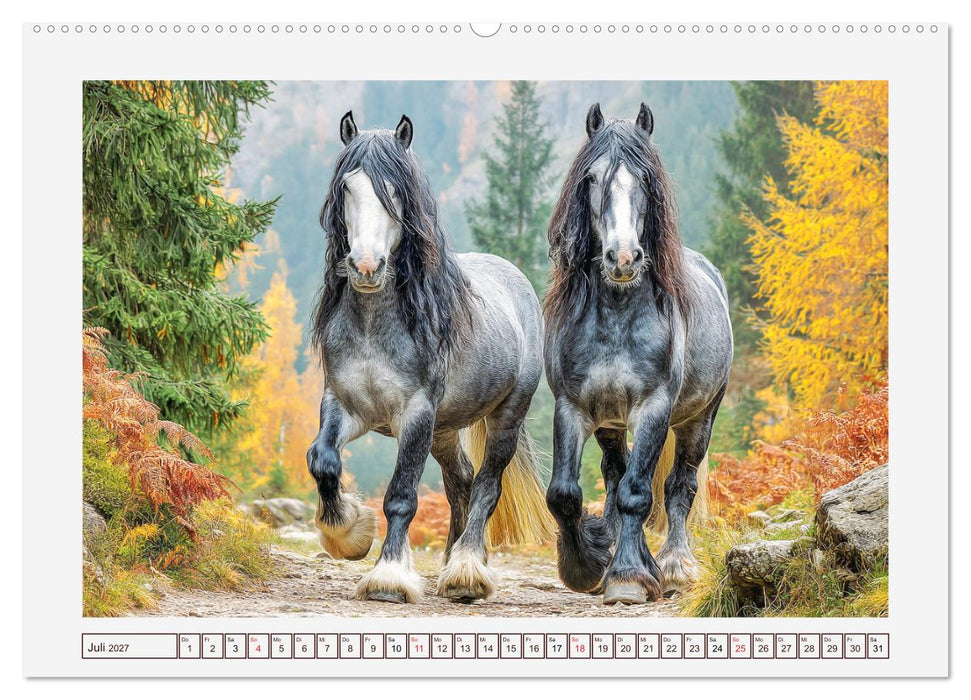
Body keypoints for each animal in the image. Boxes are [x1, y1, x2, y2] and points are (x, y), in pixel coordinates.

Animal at [306, 111, 555, 604]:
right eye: (347, 187)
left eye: (395, 192)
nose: (366, 267)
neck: (375, 327)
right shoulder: (344, 406)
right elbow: (322, 461)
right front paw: (349, 535)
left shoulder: (416, 414)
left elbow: (402, 496)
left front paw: (387, 578)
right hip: (444, 429)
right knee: (460, 480)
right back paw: (454, 563)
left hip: (505, 416)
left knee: (486, 486)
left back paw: (466, 572)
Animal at [543, 103, 733, 605]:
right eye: (591, 178)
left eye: (645, 178)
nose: (623, 258)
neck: (617, 316)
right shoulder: (572, 406)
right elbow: (565, 493)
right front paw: (588, 565)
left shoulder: (653, 408)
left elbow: (638, 493)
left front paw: (629, 576)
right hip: (610, 421)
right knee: (614, 471)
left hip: (698, 419)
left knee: (677, 485)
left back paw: (674, 566)